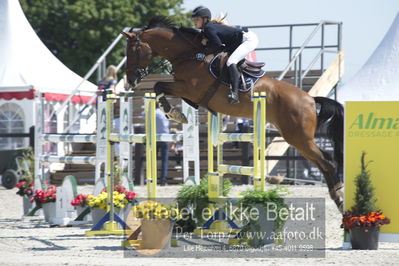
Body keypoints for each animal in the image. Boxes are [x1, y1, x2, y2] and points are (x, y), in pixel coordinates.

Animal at [122, 16, 346, 213]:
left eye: (133, 50)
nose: (130, 80)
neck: (190, 55)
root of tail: (310, 99)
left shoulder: (189, 89)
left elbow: (159, 85)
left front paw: (174, 113)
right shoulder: (186, 91)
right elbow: (160, 88)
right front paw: (176, 113)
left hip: (298, 137)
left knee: (326, 161)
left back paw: (340, 197)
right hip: (297, 139)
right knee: (323, 162)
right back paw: (337, 196)